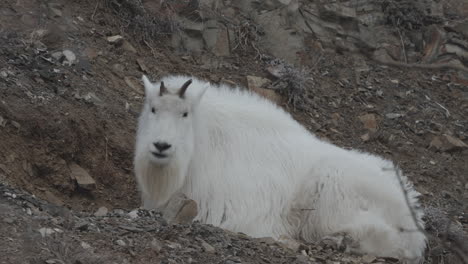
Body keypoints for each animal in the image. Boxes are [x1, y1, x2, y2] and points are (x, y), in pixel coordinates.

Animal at [133, 73, 426, 262]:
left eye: (184, 114)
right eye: (153, 109)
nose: (161, 146)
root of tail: (411, 209)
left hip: (332, 189)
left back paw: (339, 240)